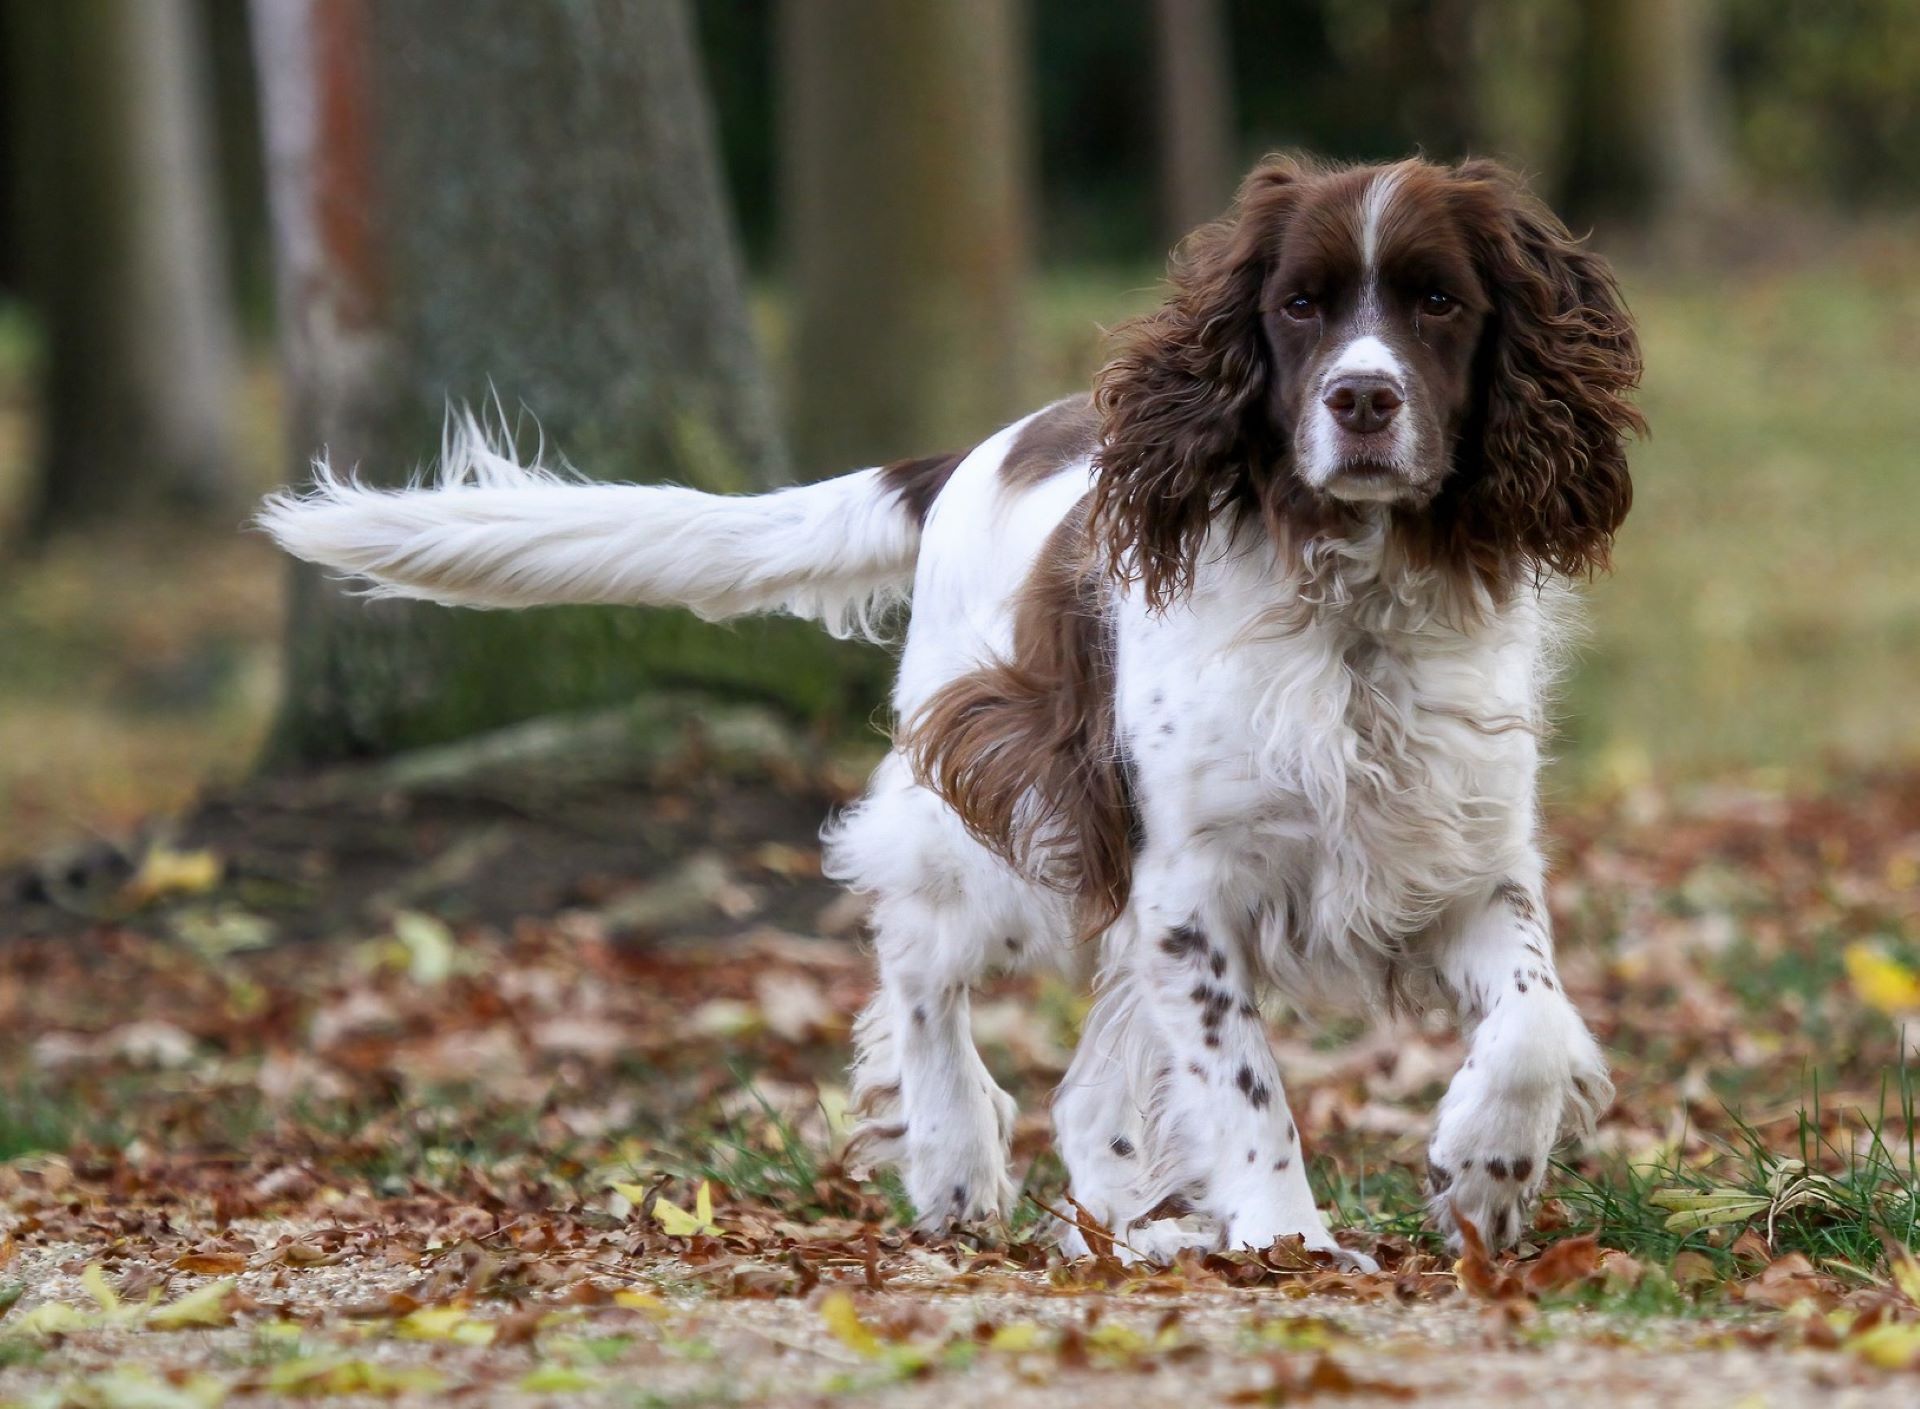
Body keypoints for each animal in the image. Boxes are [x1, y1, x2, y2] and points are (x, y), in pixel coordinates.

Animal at [255, 154, 1643, 1266]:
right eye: (1299, 304)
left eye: (1438, 301)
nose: (1362, 400)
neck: (1352, 614)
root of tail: (968, 454)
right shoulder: (1186, 885)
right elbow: (1246, 1087)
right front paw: (1286, 1232)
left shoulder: (1461, 866)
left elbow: (1532, 1020)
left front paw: (1485, 1173)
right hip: (1004, 818)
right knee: (917, 957)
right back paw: (957, 1157)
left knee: (1087, 1089)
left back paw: (1129, 1226)